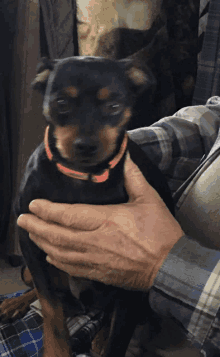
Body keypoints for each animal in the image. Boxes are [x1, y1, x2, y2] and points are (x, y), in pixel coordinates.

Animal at [6, 57, 174, 354]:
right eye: (61, 103)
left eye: (114, 106)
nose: (85, 146)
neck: (80, 176)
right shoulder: (28, 238)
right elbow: (50, 307)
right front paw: (56, 351)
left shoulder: (132, 273)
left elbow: (119, 338)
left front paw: (107, 340)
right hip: (28, 269)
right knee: (42, 289)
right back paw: (14, 304)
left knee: (111, 314)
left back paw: (100, 336)